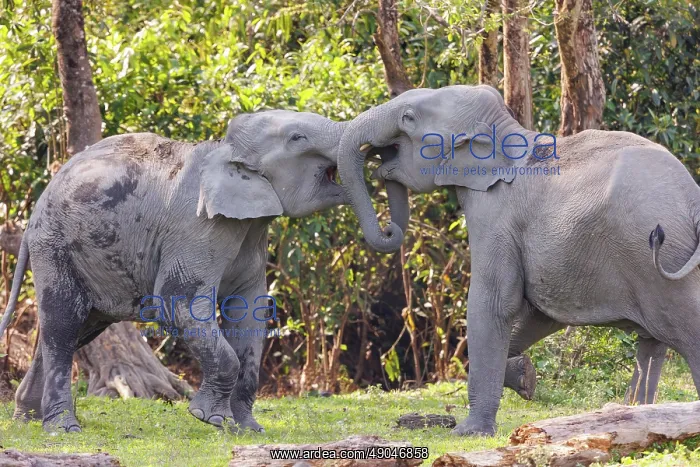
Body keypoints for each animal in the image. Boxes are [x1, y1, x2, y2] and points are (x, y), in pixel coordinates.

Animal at [0, 109, 351, 433]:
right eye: (297, 138)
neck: (226, 149)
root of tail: (32, 218)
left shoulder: (250, 232)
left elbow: (249, 314)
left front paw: (248, 430)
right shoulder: (198, 229)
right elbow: (176, 304)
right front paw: (209, 419)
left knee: (75, 328)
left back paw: (28, 419)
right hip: (55, 246)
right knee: (64, 324)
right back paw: (62, 428)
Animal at [337, 84, 699, 436]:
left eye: (408, 118)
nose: (389, 229)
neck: (503, 131)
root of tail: (692, 196)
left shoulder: (495, 213)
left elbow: (494, 302)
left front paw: (469, 432)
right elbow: (540, 315)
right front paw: (525, 376)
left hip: (657, 257)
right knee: (652, 343)